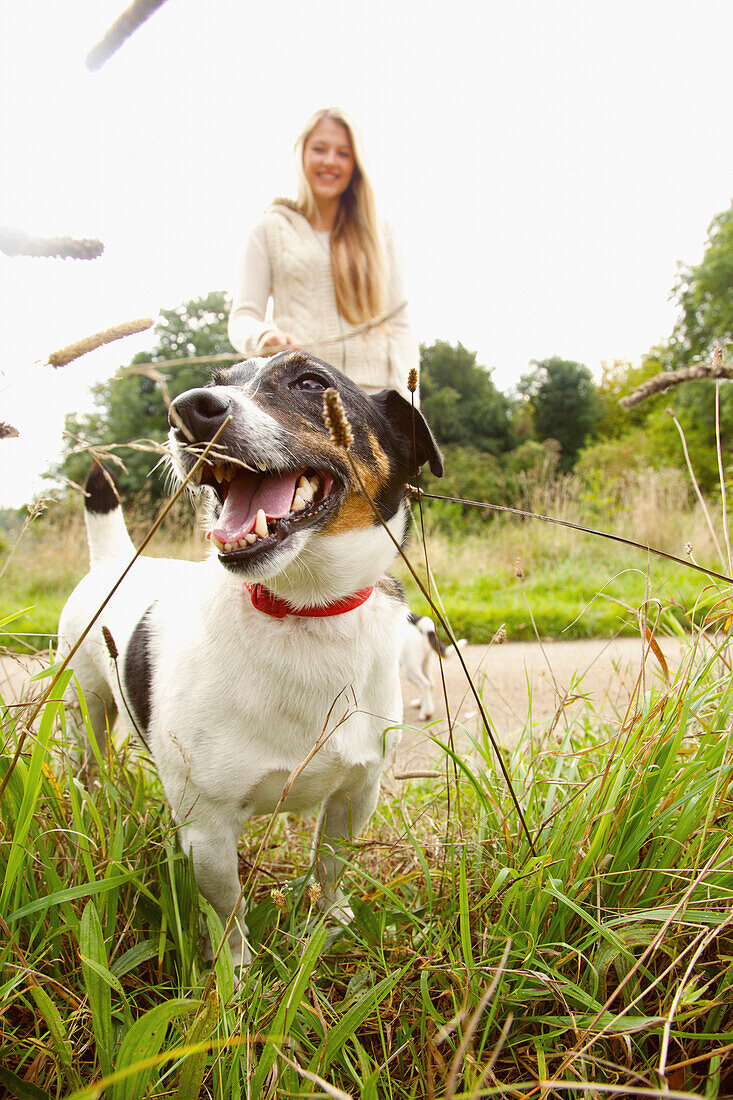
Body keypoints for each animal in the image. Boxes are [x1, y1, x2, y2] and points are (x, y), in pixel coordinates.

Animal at [58, 352, 440, 963]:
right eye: (212, 383)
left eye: (311, 382)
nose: (187, 411)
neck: (301, 609)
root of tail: (114, 560)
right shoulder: (207, 832)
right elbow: (228, 913)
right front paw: (234, 975)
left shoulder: (356, 793)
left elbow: (329, 868)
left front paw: (331, 923)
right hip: (85, 710)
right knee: (86, 765)